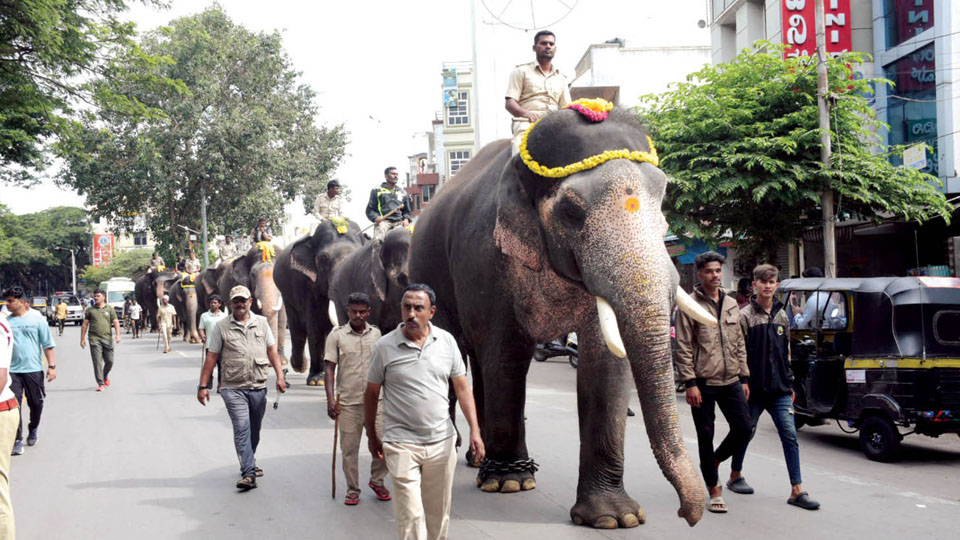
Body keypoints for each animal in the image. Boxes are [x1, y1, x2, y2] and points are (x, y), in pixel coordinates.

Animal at [278, 218, 368, 384]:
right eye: (323, 259)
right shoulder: (308, 284)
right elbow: (315, 325)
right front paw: (317, 380)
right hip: (286, 294)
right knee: (297, 327)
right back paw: (299, 366)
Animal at [408, 107, 716, 528]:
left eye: (663, 198)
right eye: (571, 212)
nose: (687, 514)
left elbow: (605, 361)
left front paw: (614, 517)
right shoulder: (486, 260)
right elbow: (507, 353)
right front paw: (510, 483)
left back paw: (477, 459)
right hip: (429, 273)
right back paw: (467, 458)